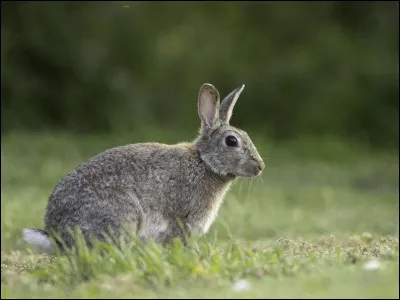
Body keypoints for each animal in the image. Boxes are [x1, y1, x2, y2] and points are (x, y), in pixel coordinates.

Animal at [22, 83, 266, 254]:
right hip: (123, 214)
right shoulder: (184, 220)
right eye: (232, 141)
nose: (260, 166)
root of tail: (57, 236)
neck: (204, 162)